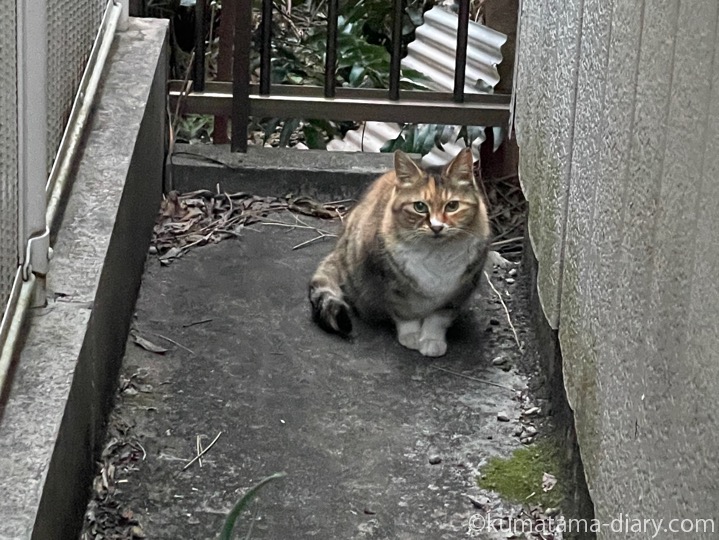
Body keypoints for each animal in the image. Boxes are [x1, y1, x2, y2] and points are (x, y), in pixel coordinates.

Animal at [306, 150, 492, 356]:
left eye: (452, 206)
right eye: (420, 206)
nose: (436, 227)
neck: (436, 253)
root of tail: (339, 246)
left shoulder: (459, 291)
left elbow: (438, 318)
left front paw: (431, 339)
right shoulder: (390, 282)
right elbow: (405, 313)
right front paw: (411, 337)